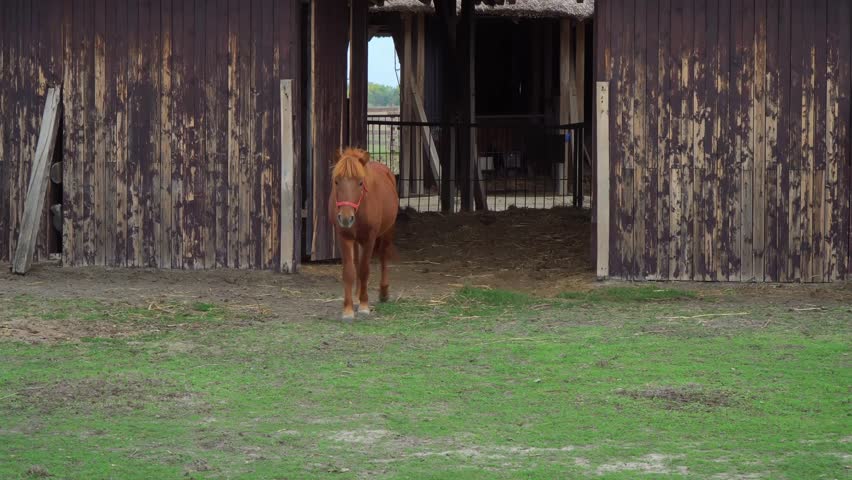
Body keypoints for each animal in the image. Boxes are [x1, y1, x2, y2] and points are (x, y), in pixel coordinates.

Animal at [329, 147, 399, 321]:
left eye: (361, 182)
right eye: (336, 181)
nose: (345, 218)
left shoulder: (370, 238)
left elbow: (365, 270)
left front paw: (364, 305)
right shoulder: (344, 237)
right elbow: (350, 271)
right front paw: (348, 309)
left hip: (387, 230)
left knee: (383, 256)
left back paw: (383, 292)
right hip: (355, 240)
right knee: (357, 263)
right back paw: (356, 295)